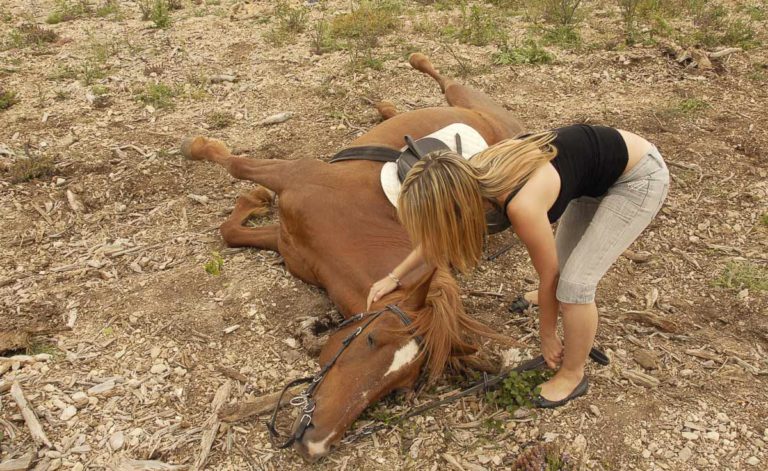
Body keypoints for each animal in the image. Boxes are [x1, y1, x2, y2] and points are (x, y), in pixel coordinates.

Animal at [180, 53, 524, 462]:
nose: (316, 443)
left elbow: (231, 229)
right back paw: (403, 82)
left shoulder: (287, 242)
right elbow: (235, 173)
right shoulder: (293, 179)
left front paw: (251, 198)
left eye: (397, 389)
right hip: (464, 96)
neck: (357, 226)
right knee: (444, 78)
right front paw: (202, 149)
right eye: (370, 339)